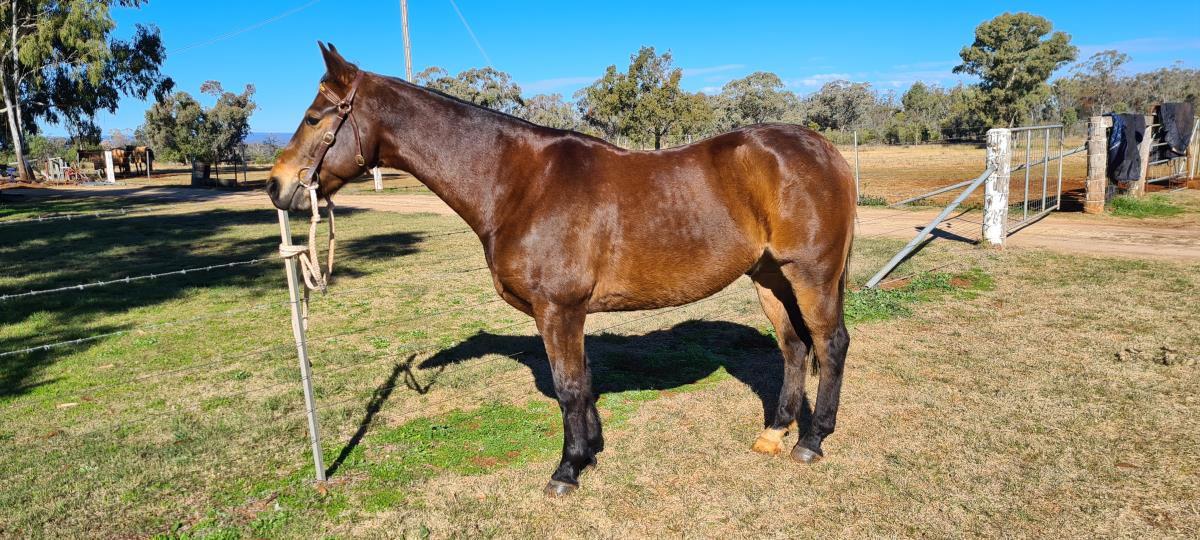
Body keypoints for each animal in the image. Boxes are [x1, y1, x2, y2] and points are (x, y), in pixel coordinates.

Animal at [267, 43, 855, 496]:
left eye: (315, 117)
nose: (276, 186)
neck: (518, 184)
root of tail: (826, 149)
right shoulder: (566, 314)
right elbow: (585, 383)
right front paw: (590, 451)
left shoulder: (559, 309)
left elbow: (570, 386)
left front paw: (567, 470)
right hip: (770, 276)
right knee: (793, 347)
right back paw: (775, 433)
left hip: (811, 275)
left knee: (829, 344)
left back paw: (812, 440)